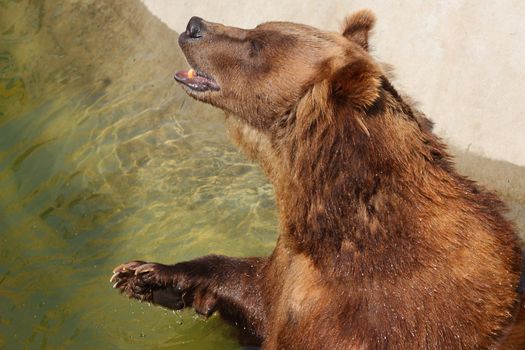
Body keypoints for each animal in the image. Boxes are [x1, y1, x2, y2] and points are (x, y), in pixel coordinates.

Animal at [111, 9, 524, 348]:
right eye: (258, 26)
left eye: (257, 45)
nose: (194, 25)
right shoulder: (289, 275)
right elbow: (253, 290)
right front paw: (145, 275)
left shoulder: (382, 312)